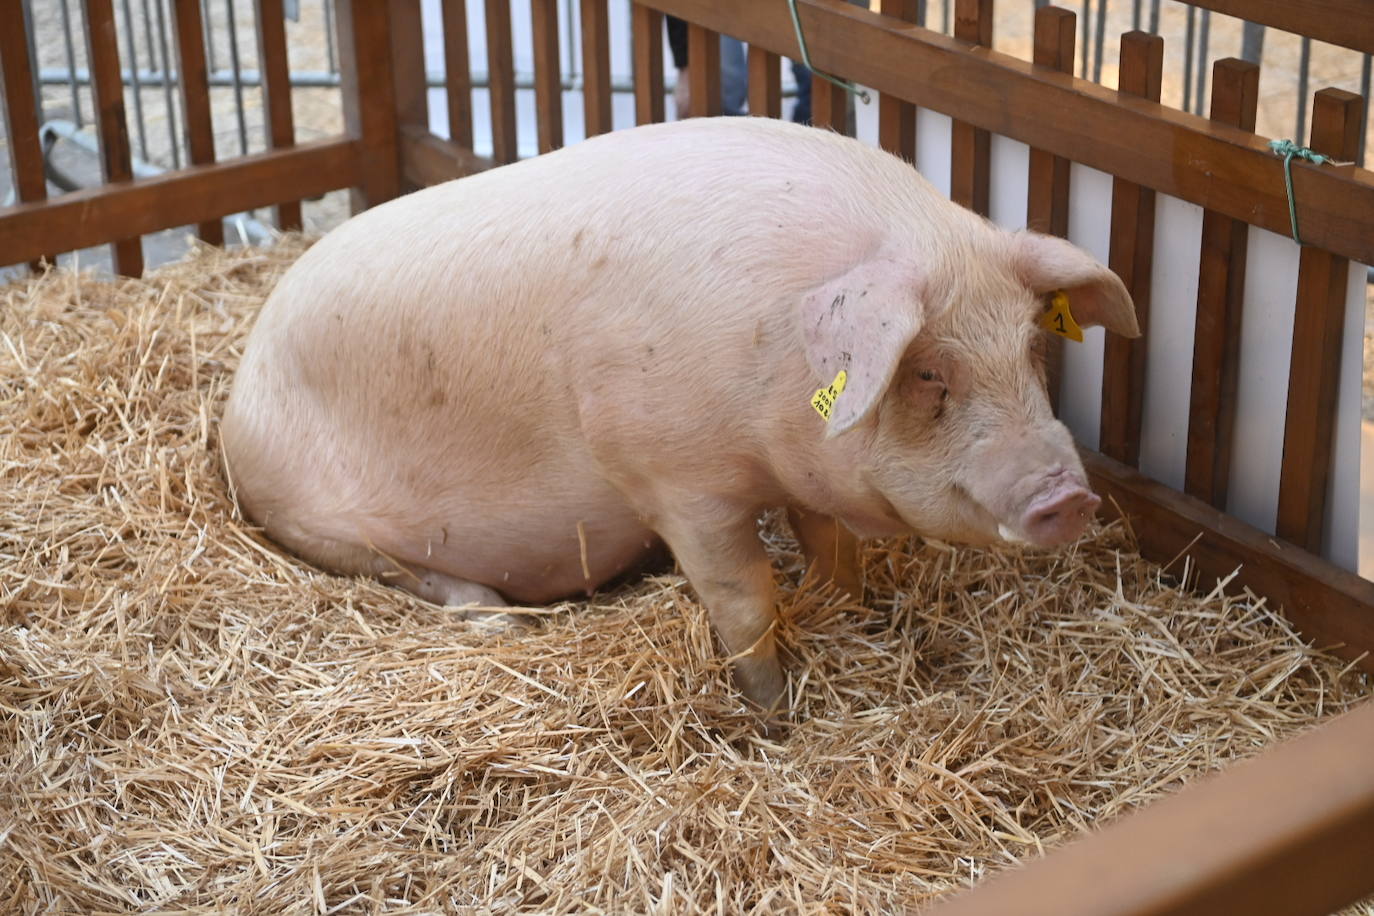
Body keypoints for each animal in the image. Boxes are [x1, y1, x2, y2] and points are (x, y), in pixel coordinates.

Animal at [217, 116, 1137, 708]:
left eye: (1029, 348)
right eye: (927, 372)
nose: (1068, 496)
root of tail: (241, 381)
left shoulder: (799, 473)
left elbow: (832, 549)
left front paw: (850, 610)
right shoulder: (672, 477)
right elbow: (744, 600)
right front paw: (772, 713)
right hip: (318, 520)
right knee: (415, 575)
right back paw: (500, 622)